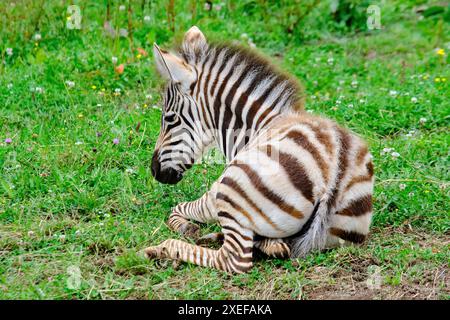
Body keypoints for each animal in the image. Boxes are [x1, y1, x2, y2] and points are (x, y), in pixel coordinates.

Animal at [143, 26, 372, 274]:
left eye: (169, 119)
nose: (154, 170)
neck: (256, 127)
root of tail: (332, 182)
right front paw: (271, 245)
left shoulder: (213, 196)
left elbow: (175, 209)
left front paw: (188, 228)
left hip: (231, 190)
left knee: (234, 260)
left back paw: (159, 249)